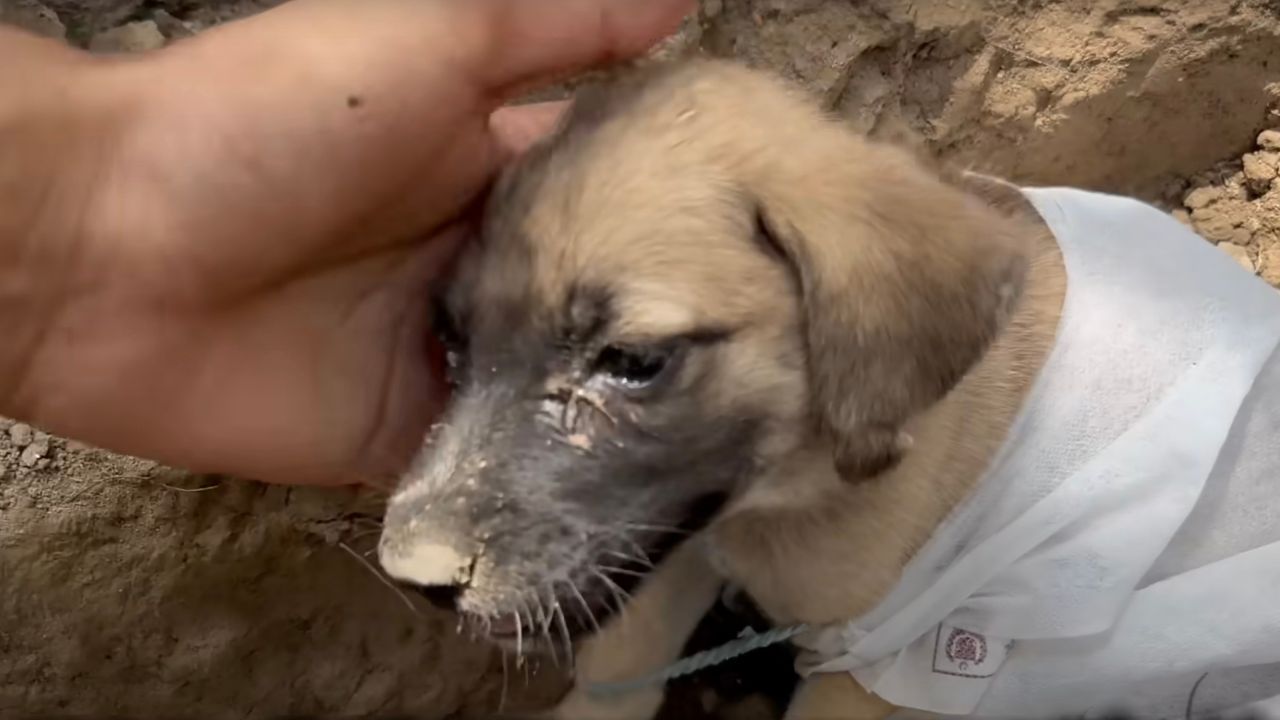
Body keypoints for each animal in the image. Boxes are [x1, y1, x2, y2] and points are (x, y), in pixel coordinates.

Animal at [373, 57, 1280, 717]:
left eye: (630, 359)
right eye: (451, 343)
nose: (414, 579)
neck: (796, 495)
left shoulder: (884, 662)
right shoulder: (679, 531)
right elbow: (620, 666)